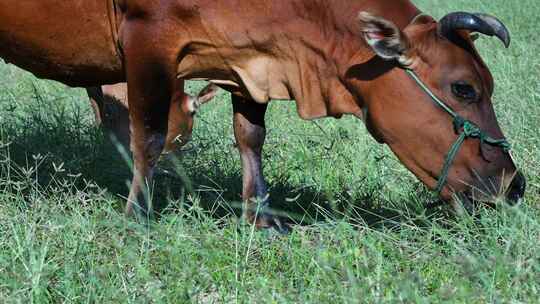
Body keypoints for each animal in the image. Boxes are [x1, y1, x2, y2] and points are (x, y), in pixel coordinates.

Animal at [0, 0, 524, 230]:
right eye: (464, 88)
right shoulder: (149, 39)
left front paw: (262, 217)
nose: (514, 185)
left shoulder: (246, 61)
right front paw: (137, 216)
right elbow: (147, 136)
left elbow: (250, 136)